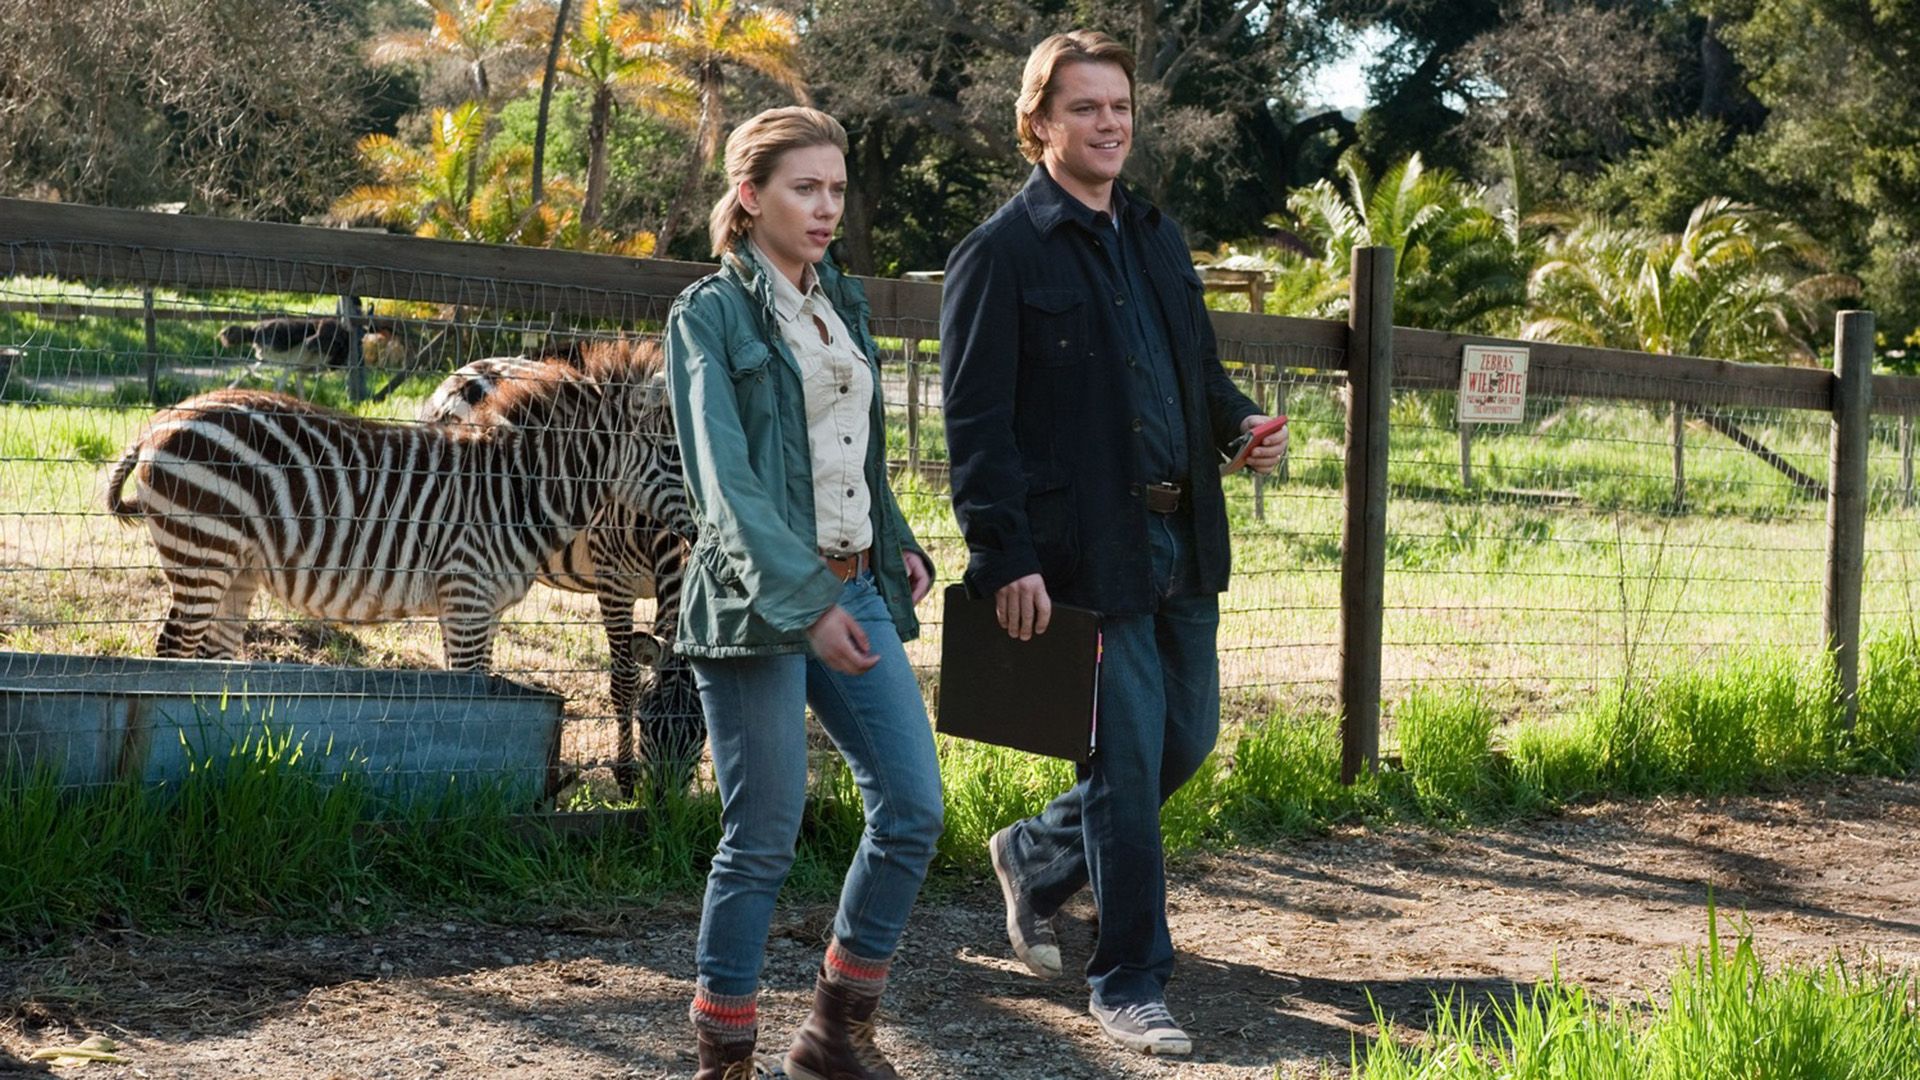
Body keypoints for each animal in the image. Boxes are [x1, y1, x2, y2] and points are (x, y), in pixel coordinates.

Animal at [107, 340, 675, 684]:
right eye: (677, 451)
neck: (515, 489)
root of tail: (160, 421)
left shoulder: (481, 608)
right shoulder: (466, 597)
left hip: (236, 571)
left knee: (212, 658)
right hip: (202, 552)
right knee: (173, 650)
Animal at [416, 340, 702, 795]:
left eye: (701, 734)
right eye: (648, 723)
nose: (665, 805)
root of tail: (470, 370)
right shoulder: (612, 574)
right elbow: (624, 679)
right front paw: (625, 778)